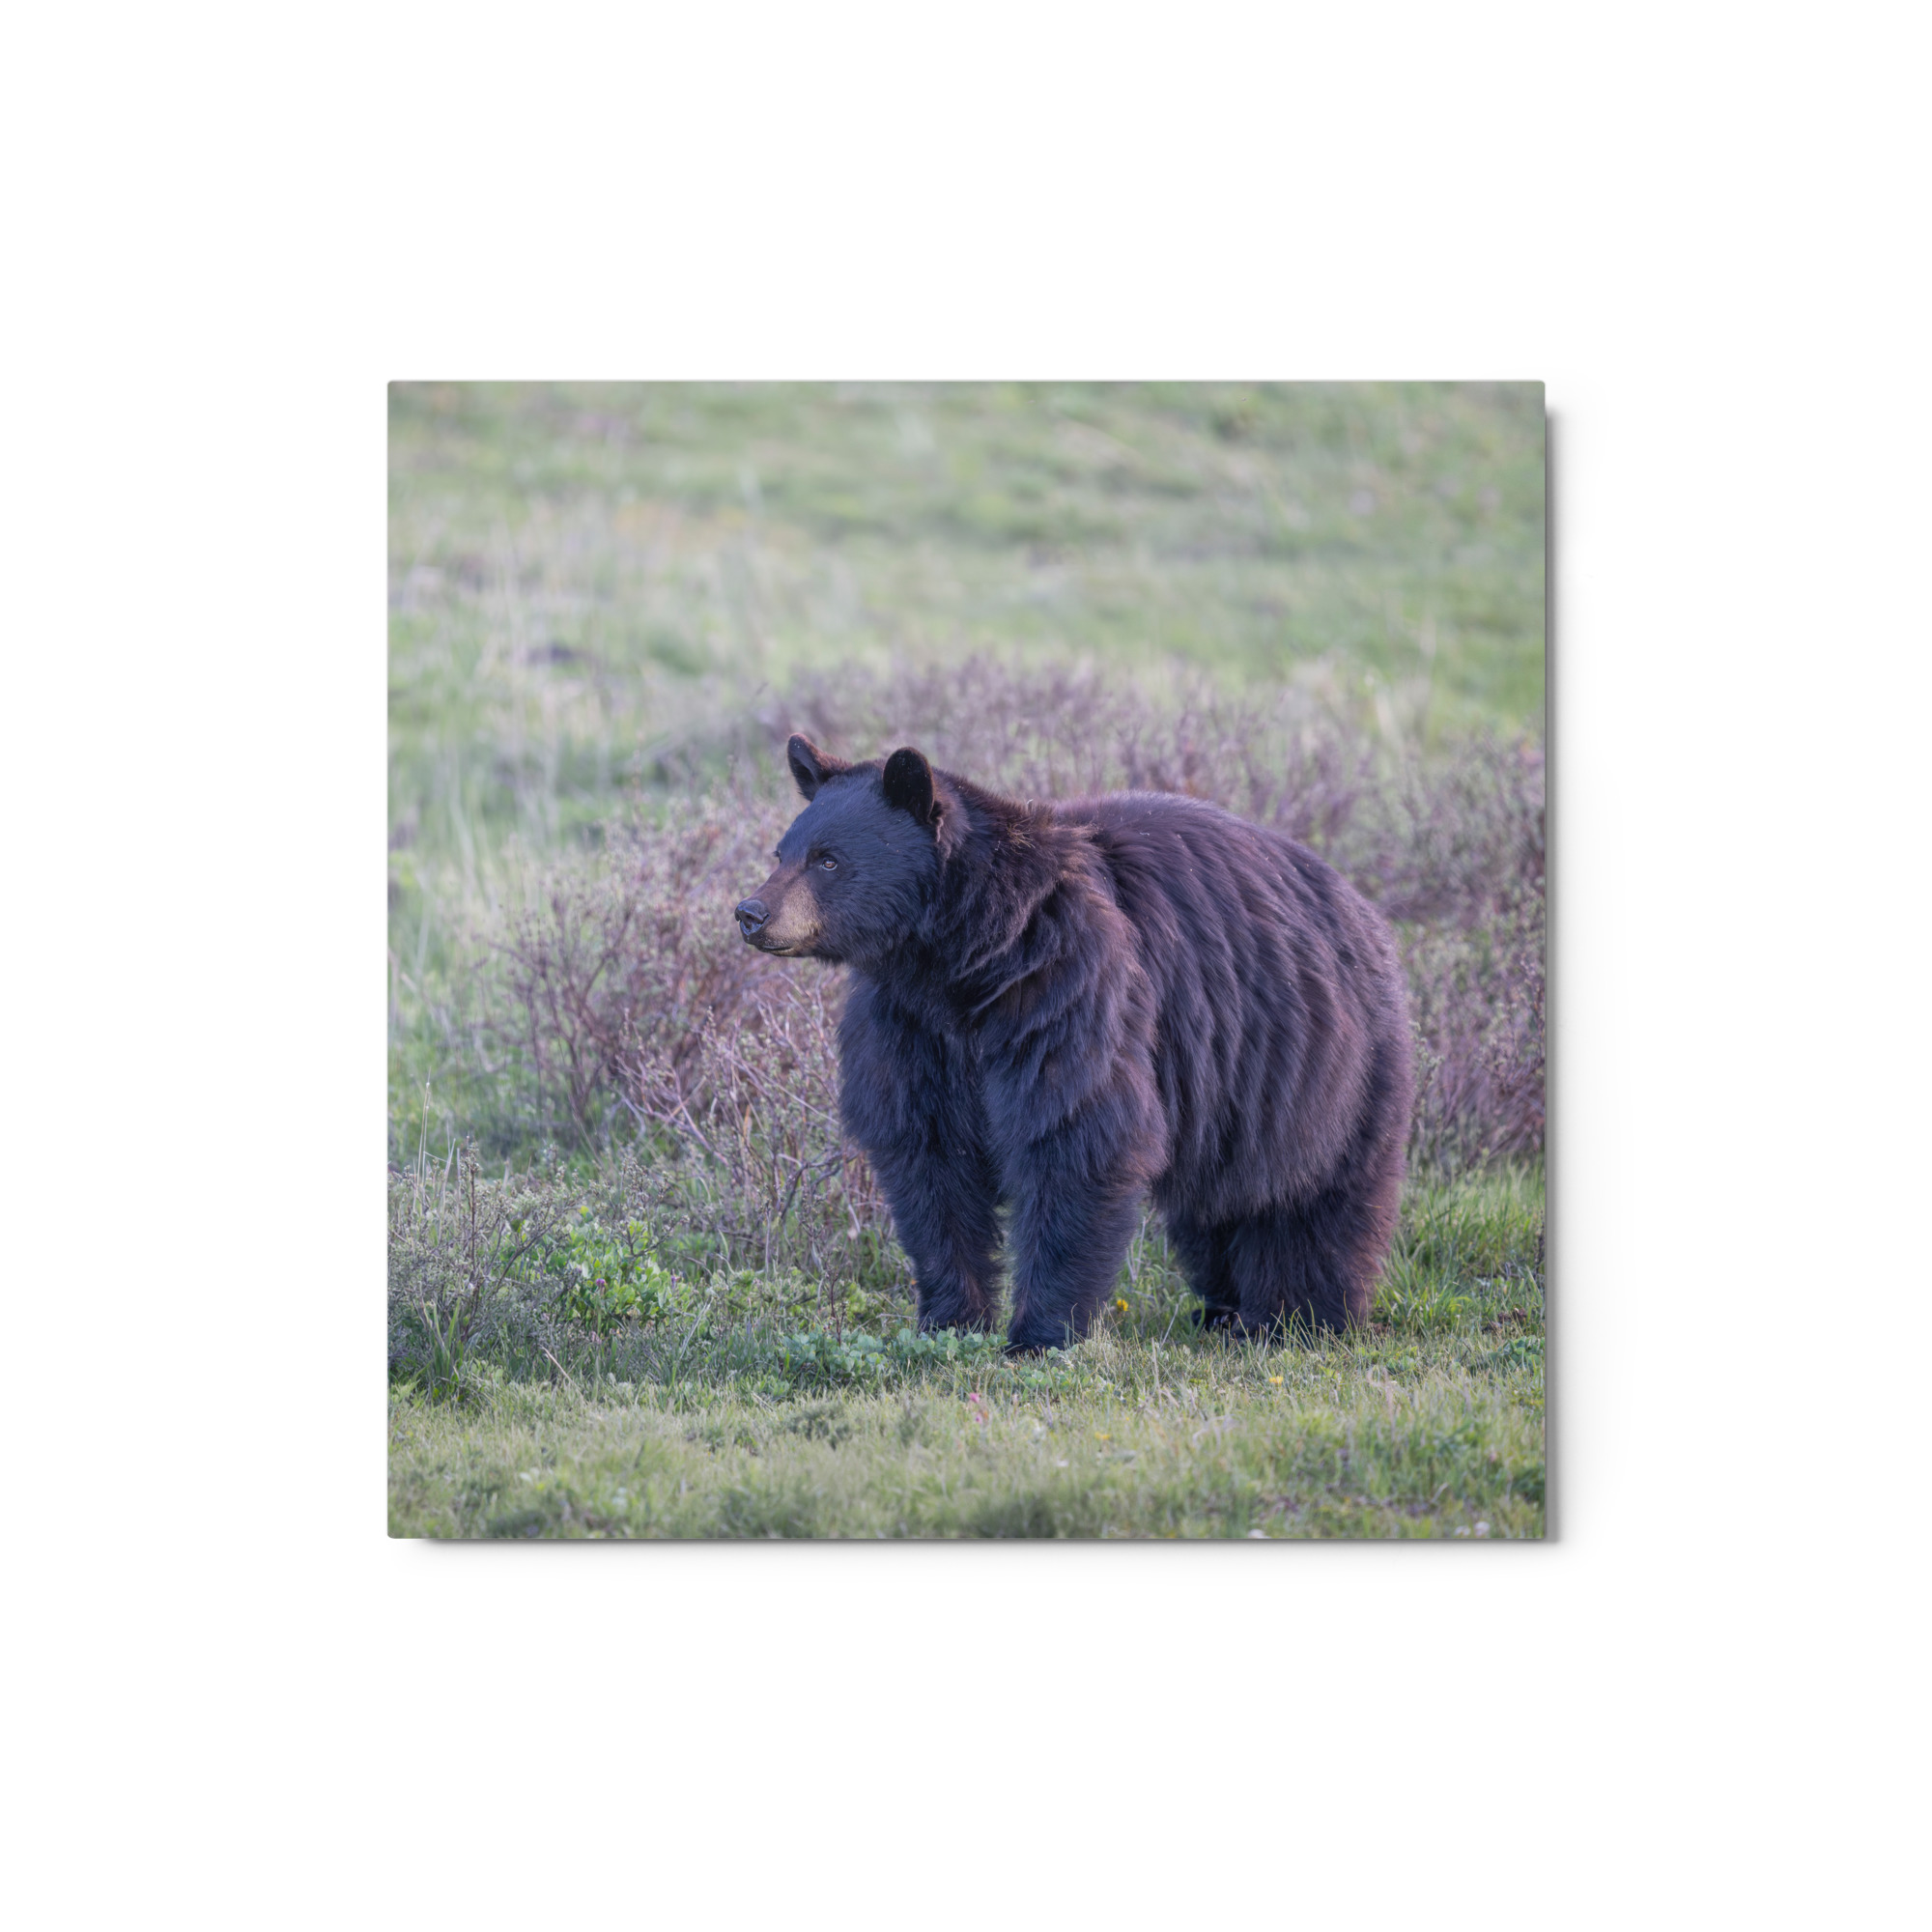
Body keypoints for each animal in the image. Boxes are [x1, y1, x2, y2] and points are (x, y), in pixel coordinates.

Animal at [734, 734, 1414, 1352]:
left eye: (828, 860)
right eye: (782, 850)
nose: (751, 912)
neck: (962, 959)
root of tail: (1361, 907)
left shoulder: (1067, 988)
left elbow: (1074, 1135)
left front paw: (1039, 1334)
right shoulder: (910, 1028)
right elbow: (928, 1158)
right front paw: (950, 1320)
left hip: (1323, 1064)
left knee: (1315, 1197)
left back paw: (1298, 1317)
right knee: (1217, 1204)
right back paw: (1223, 1310)